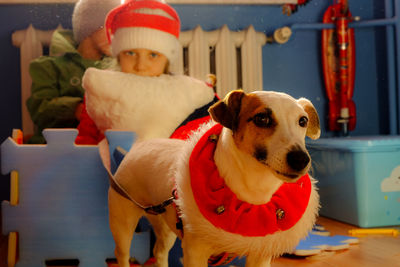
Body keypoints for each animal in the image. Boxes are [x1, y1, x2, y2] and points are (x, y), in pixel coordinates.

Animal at [108, 90, 320, 267]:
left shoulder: (260, 253)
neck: (253, 190)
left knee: (159, 252)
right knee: (122, 255)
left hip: (166, 225)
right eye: (262, 118)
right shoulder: (195, 254)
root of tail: (138, 147)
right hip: (123, 224)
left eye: (303, 121)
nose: (301, 159)